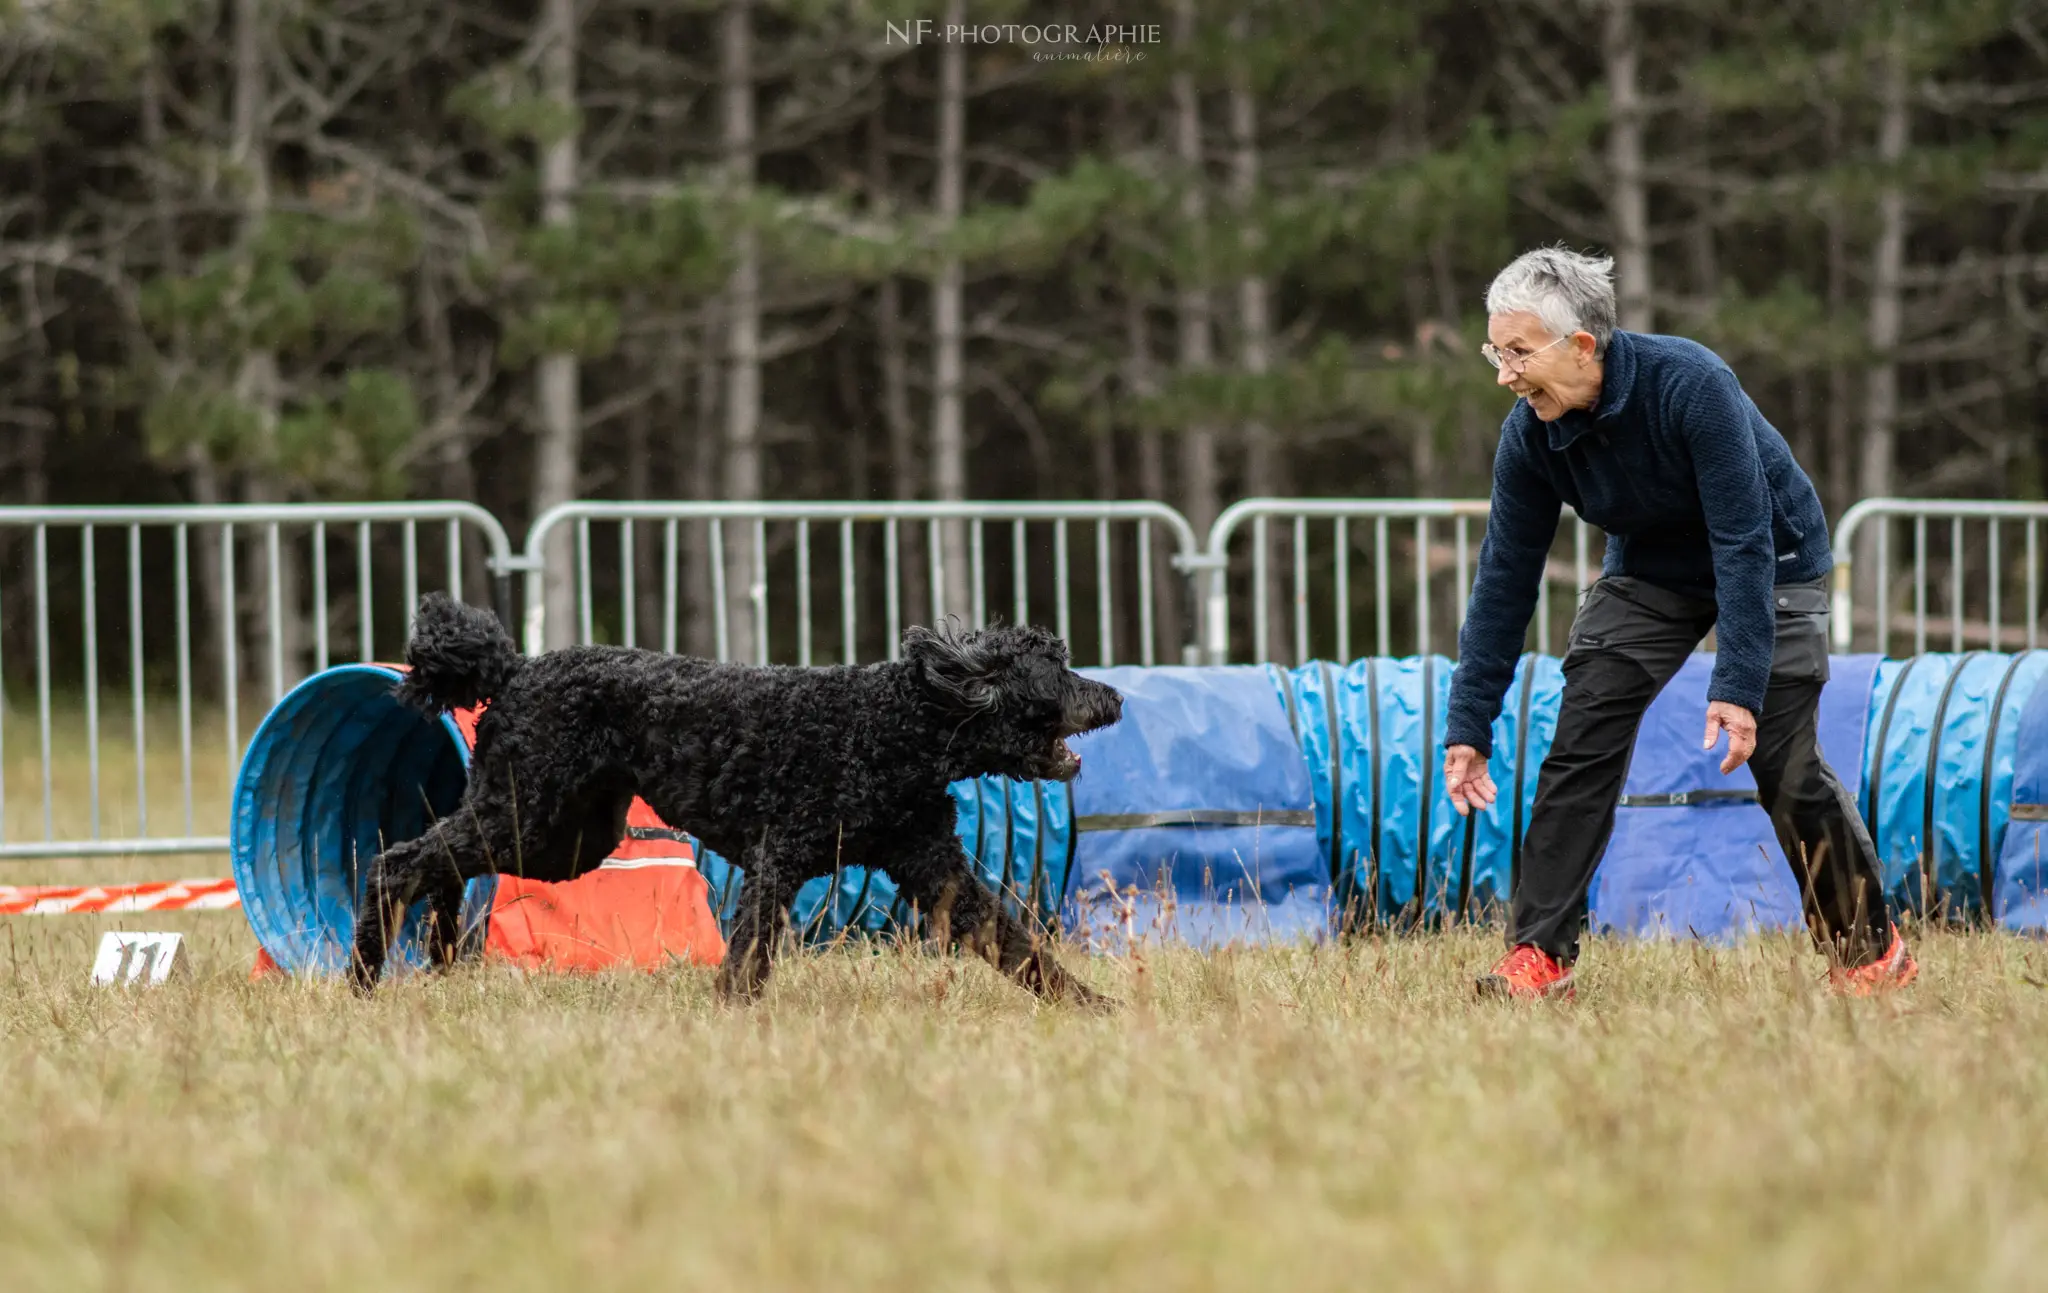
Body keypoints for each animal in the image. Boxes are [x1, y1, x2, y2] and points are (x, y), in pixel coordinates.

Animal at [348, 598, 1122, 1012]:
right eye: (1056, 669)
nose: (1114, 695)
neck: (901, 725)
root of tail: (512, 670)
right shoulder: (777, 860)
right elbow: (750, 951)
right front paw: (729, 1016)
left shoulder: (936, 867)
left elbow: (1018, 944)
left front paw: (1097, 1009)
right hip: (530, 813)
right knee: (399, 861)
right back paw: (362, 982)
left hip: (560, 838)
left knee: (441, 865)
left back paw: (439, 961)